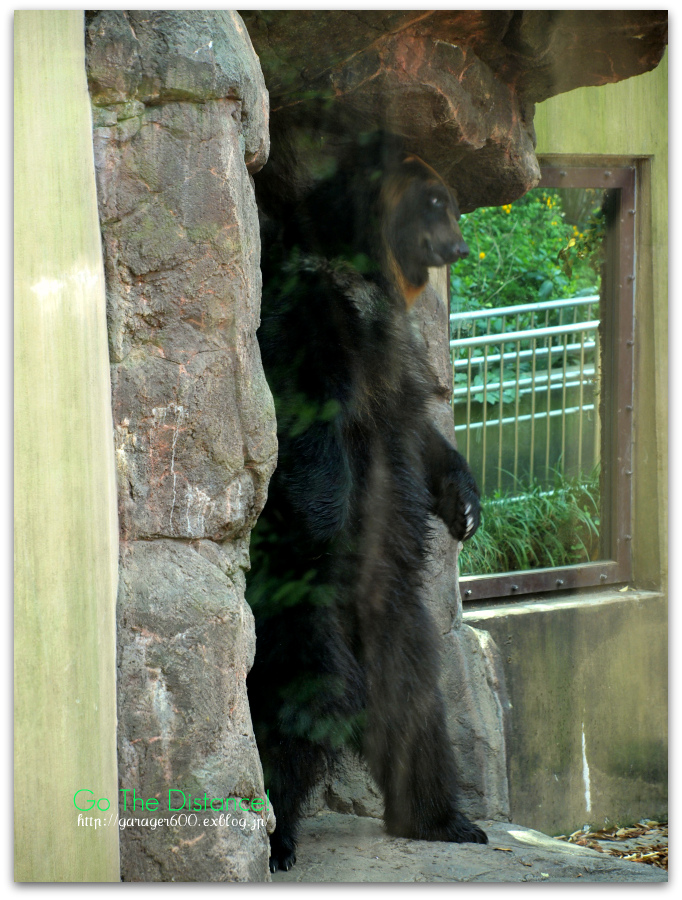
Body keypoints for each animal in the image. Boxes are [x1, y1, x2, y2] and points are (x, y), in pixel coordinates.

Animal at [244, 135, 484, 872]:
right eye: (436, 201)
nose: (459, 247)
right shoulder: (313, 314)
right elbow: (306, 417)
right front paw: (328, 508)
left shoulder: (397, 361)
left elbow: (421, 433)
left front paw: (466, 506)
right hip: (300, 612)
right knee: (299, 700)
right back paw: (276, 838)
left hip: (400, 625)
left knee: (417, 708)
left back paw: (442, 817)